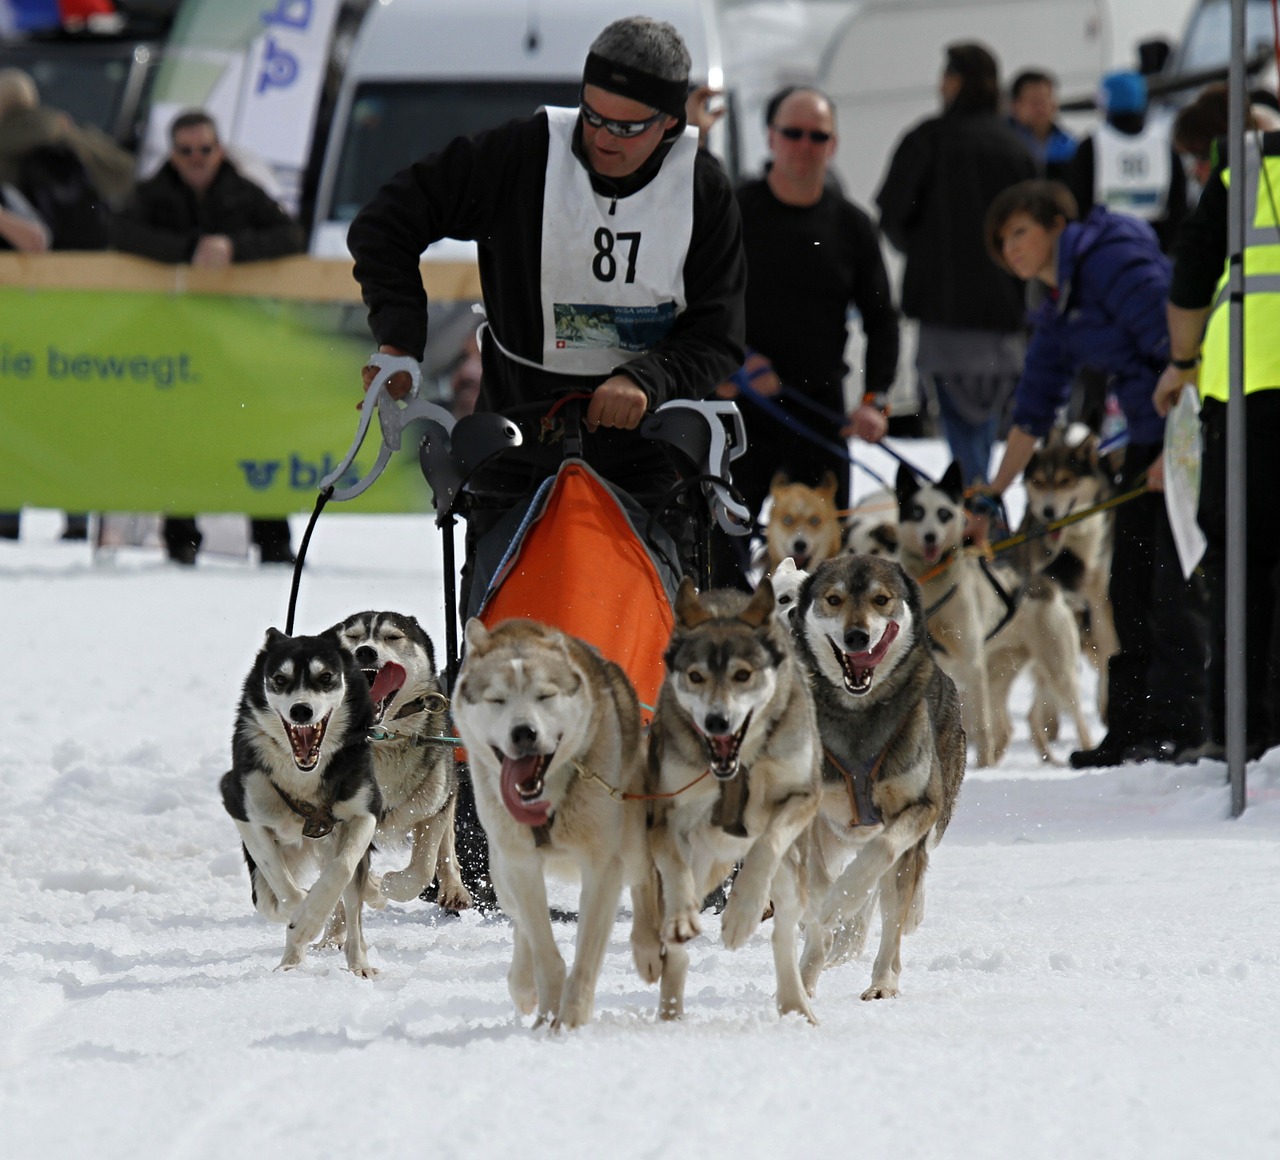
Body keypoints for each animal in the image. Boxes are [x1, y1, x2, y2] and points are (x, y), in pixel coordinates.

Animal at [221, 627, 378, 973]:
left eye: (326, 677)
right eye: (280, 679)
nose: (301, 710)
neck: (303, 775)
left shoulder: (365, 812)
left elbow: (341, 869)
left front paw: (309, 918)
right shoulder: (240, 807)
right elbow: (285, 891)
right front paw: (303, 918)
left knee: (353, 911)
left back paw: (358, 964)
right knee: (266, 899)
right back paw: (289, 964)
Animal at [327, 606, 473, 911]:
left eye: (393, 637)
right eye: (352, 636)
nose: (365, 651)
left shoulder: (434, 808)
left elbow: (422, 869)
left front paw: (388, 885)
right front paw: (371, 889)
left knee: (446, 849)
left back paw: (453, 888)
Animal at [450, 619, 655, 1024]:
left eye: (545, 696)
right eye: (497, 700)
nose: (524, 732)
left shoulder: (602, 866)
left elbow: (586, 958)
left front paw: (571, 1021)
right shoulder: (521, 864)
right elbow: (543, 947)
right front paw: (547, 1014)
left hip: (635, 840)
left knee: (645, 881)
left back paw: (648, 947)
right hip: (501, 870)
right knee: (520, 923)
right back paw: (523, 984)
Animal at [650, 578, 819, 1024]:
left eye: (743, 675)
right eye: (696, 676)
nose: (717, 721)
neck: (737, 765)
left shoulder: (802, 795)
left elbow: (767, 844)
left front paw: (741, 914)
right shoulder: (667, 813)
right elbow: (675, 873)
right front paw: (683, 914)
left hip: (792, 877)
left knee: (783, 936)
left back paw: (795, 1005)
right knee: (675, 949)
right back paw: (669, 1011)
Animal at [793, 555, 962, 998]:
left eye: (881, 599)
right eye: (833, 599)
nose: (857, 636)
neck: (858, 716)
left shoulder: (921, 806)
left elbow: (881, 853)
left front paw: (842, 901)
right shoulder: (810, 819)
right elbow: (818, 895)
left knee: (892, 909)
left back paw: (884, 978)